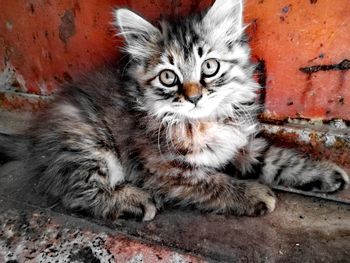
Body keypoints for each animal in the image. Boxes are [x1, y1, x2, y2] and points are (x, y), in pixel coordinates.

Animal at [0, 0, 348, 222]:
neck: (203, 121)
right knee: (77, 192)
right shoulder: (166, 170)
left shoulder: (241, 145)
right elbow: (214, 182)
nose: (194, 97)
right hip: (87, 144)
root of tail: (35, 138)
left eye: (209, 67)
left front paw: (325, 174)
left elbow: (280, 159)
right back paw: (134, 201)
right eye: (169, 77)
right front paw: (252, 194)